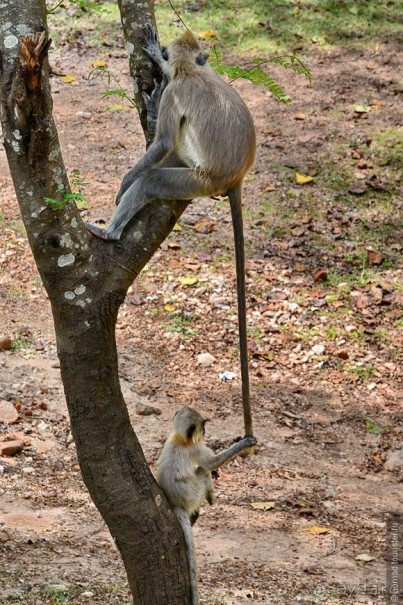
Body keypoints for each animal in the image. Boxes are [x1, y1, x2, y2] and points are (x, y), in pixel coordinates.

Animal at [87, 24, 258, 438]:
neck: (193, 72)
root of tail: (236, 177)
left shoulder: (177, 93)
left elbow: (161, 142)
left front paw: (124, 182)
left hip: (196, 181)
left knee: (153, 176)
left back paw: (111, 233)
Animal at [156, 406, 258, 604]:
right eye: (202, 426)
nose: (205, 431)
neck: (180, 439)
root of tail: (176, 503)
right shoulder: (195, 447)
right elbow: (211, 463)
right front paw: (243, 444)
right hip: (194, 494)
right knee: (202, 471)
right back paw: (210, 498)